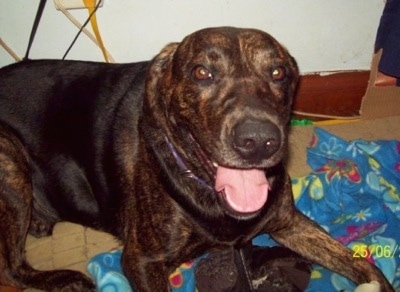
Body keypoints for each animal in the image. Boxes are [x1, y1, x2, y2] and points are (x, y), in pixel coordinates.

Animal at [0, 26, 394, 290]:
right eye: (202, 72)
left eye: (278, 72)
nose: (259, 141)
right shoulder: (143, 261)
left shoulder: (289, 222)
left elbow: (365, 266)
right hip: (11, 157)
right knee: (12, 268)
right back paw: (63, 277)